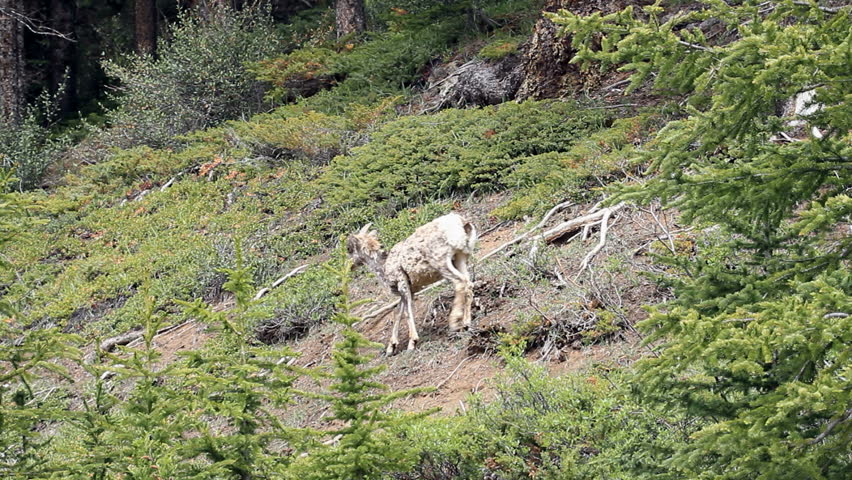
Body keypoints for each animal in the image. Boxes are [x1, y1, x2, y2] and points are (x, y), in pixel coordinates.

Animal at [346, 212, 477, 354]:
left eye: (349, 249)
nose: (349, 267)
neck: (384, 266)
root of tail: (462, 223)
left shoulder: (402, 283)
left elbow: (407, 311)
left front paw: (412, 343)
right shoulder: (410, 289)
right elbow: (397, 312)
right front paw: (391, 347)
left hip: (442, 263)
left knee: (460, 283)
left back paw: (454, 323)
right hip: (460, 258)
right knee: (468, 284)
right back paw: (466, 324)